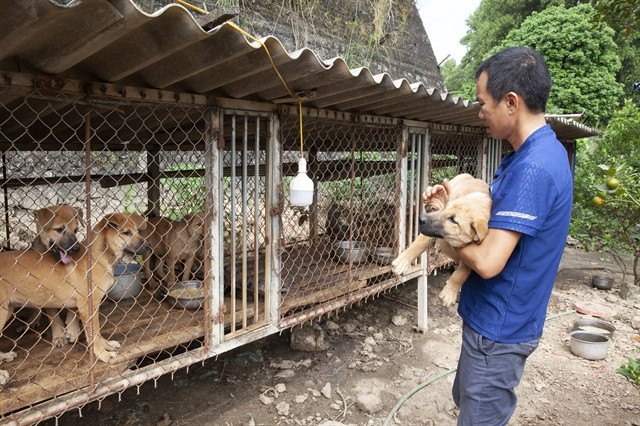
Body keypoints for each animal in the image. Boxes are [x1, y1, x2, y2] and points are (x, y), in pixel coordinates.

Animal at [0, 213, 148, 386]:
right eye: (126, 233)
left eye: (137, 231)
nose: (148, 246)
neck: (98, 256)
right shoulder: (87, 306)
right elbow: (93, 335)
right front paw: (103, 355)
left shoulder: (93, 306)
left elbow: (97, 333)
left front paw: (107, 345)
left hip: (7, 310)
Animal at [390, 173, 490, 306]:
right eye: (447, 207)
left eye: (453, 220)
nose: (421, 219)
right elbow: (420, 243)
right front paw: (402, 261)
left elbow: (463, 271)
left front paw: (450, 292)